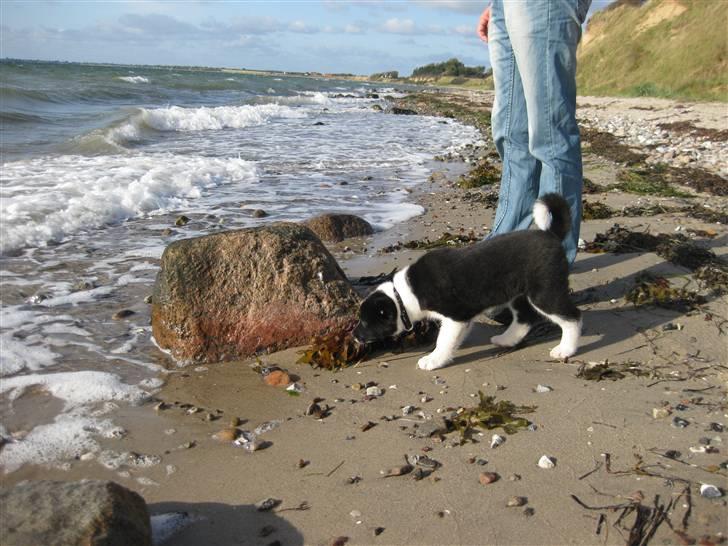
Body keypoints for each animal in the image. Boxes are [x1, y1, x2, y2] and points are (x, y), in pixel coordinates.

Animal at [352, 192, 580, 370]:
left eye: (366, 322)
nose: (354, 335)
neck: (403, 294)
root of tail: (551, 235)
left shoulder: (455, 316)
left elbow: (444, 340)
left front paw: (433, 360)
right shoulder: (463, 318)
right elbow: (452, 340)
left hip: (544, 291)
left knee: (572, 318)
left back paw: (565, 349)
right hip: (519, 294)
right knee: (525, 318)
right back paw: (506, 339)